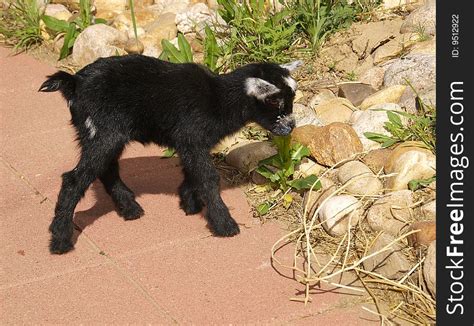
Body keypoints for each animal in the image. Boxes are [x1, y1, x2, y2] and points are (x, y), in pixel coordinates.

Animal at [39, 54, 300, 255]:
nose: (291, 126)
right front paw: (224, 224)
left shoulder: (188, 143)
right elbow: (208, 178)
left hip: (102, 134)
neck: (218, 98)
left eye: (292, 99)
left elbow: (192, 172)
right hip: (103, 132)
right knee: (74, 179)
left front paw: (189, 203)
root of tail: (74, 82)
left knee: (107, 168)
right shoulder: (192, 138)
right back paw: (60, 240)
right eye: (276, 101)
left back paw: (129, 208)